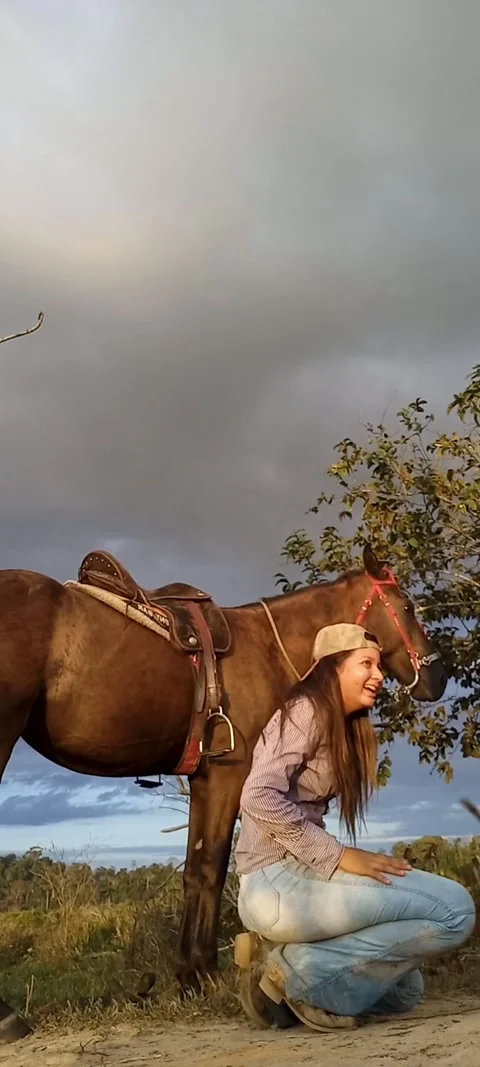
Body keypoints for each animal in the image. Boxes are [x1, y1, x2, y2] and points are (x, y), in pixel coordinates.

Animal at [0, 544, 446, 1008]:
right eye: (407, 606)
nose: (438, 677)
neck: (270, 649)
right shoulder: (230, 777)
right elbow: (211, 869)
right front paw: (202, 974)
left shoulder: (205, 778)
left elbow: (194, 870)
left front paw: (188, 973)